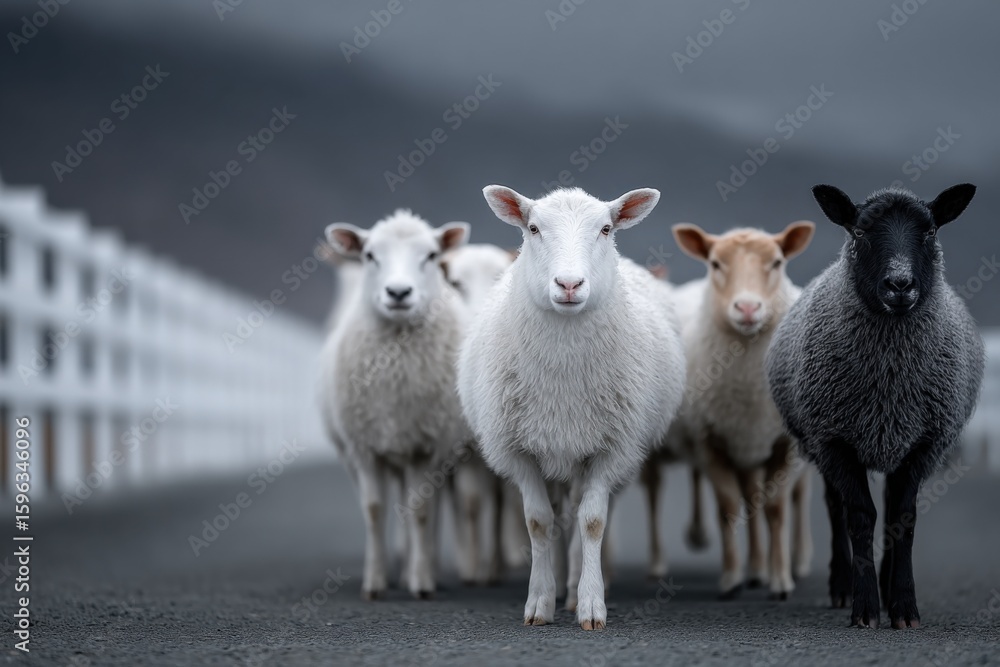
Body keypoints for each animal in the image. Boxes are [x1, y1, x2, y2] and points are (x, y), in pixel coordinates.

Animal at [319, 209, 471, 600]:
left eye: (431, 255)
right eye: (369, 255)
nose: (399, 292)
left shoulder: (425, 448)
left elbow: (420, 512)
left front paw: (420, 582)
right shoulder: (364, 448)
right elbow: (374, 511)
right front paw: (375, 583)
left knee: (428, 510)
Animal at [457, 185, 686, 629]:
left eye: (606, 228)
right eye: (532, 228)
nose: (568, 283)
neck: (563, 378)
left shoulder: (609, 449)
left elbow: (592, 522)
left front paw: (591, 604)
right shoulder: (520, 452)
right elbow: (538, 522)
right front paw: (539, 602)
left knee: (577, 514)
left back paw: (576, 585)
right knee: (559, 518)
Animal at [667, 221, 816, 599]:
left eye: (777, 262)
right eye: (715, 263)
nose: (747, 308)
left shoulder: (786, 445)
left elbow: (777, 509)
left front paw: (781, 582)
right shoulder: (711, 442)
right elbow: (729, 507)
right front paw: (732, 578)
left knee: (799, 496)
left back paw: (798, 561)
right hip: (744, 448)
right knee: (750, 498)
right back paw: (755, 568)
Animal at [766, 184, 985, 629]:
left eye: (931, 230)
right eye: (860, 232)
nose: (900, 285)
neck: (889, 385)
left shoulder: (923, 444)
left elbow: (902, 518)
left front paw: (903, 607)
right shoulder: (834, 441)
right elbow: (859, 516)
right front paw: (864, 607)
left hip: (894, 445)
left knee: (890, 509)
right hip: (822, 442)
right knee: (836, 508)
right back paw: (842, 585)